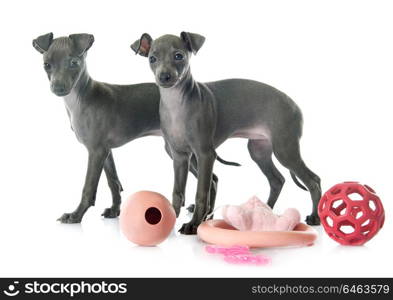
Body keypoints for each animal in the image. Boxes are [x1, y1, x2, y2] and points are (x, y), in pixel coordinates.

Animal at [33, 34, 220, 224]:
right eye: (46, 65)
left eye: (73, 63)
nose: (58, 88)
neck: (79, 100)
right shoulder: (105, 151)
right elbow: (113, 182)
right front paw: (115, 210)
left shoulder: (96, 151)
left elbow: (88, 187)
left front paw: (76, 215)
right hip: (177, 148)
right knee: (213, 178)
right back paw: (205, 213)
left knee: (211, 179)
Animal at [130, 32, 320, 234]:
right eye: (152, 59)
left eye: (178, 56)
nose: (164, 77)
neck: (176, 105)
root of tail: (295, 105)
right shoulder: (180, 156)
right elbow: (177, 191)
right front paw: (168, 219)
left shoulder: (205, 154)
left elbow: (201, 192)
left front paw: (193, 225)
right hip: (259, 150)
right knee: (277, 180)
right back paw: (263, 212)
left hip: (285, 149)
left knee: (313, 180)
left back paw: (315, 217)